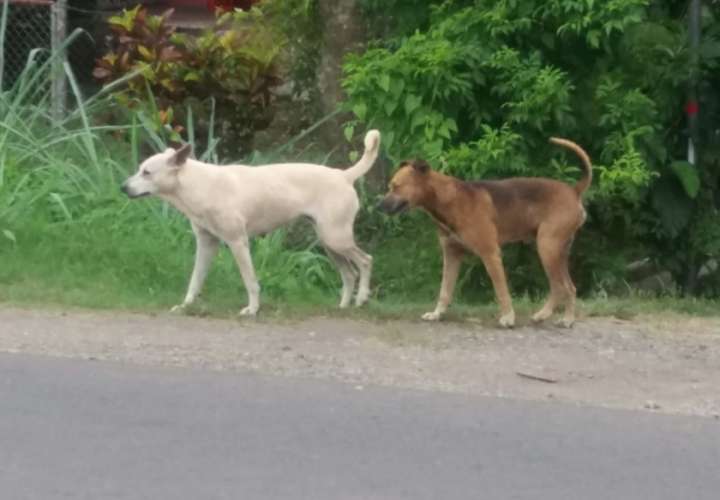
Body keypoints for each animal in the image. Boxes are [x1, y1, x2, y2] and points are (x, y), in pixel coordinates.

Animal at [124, 131, 382, 314]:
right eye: (140, 169)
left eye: (147, 172)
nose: (123, 187)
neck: (197, 184)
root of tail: (344, 175)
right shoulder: (206, 244)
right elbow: (195, 280)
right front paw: (186, 306)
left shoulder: (238, 242)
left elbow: (250, 281)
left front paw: (253, 309)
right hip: (329, 243)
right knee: (349, 274)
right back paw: (344, 306)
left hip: (336, 239)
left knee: (366, 261)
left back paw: (362, 298)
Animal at [376, 139, 592, 330]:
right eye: (390, 187)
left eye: (396, 186)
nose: (378, 206)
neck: (449, 198)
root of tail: (574, 191)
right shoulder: (451, 254)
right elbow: (445, 290)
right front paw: (437, 314)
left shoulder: (490, 254)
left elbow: (501, 290)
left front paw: (508, 318)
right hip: (556, 252)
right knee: (567, 287)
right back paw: (557, 317)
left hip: (547, 249)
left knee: (561, 287)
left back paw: (555, 317)